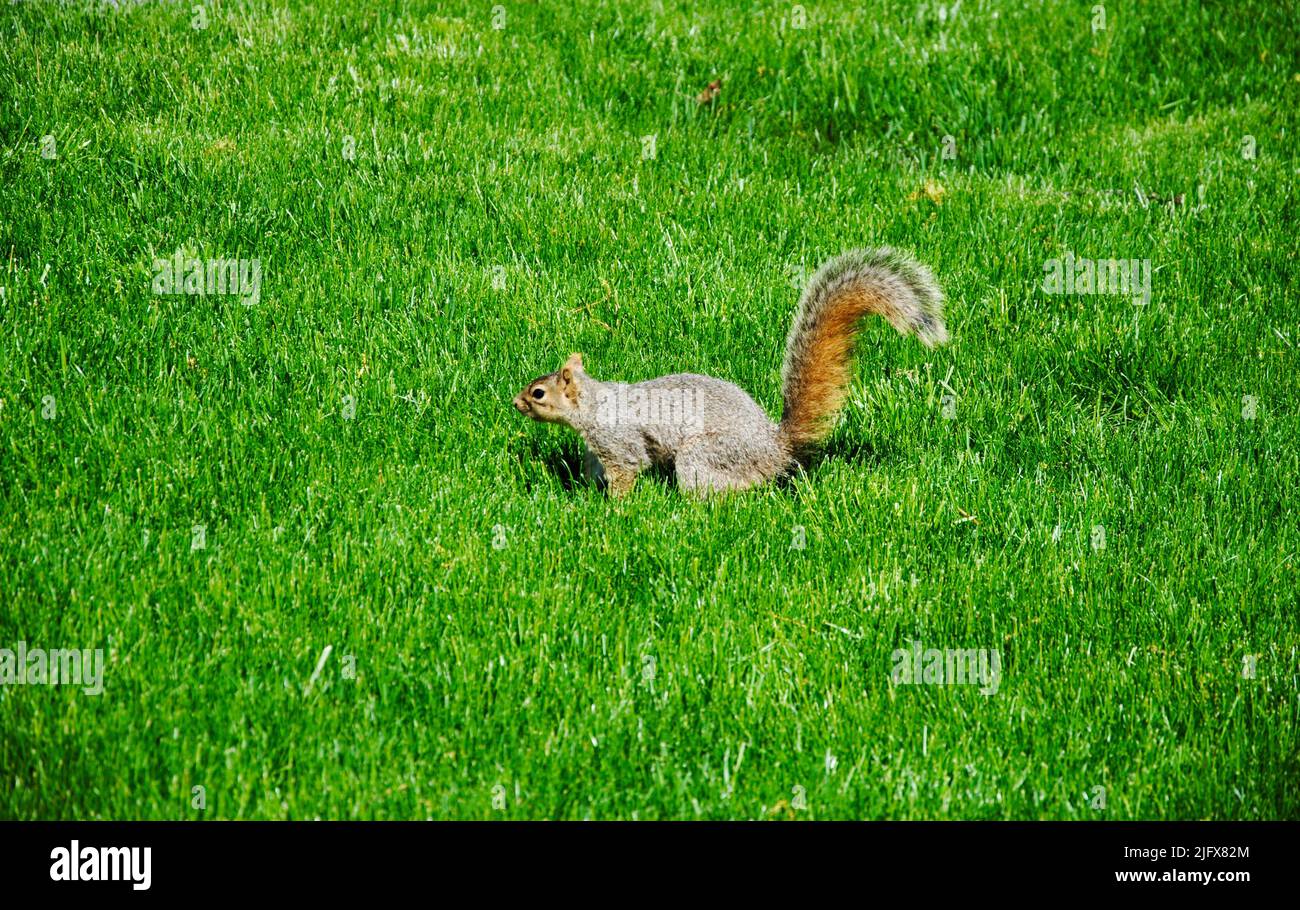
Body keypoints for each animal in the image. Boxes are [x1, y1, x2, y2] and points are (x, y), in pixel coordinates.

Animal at [512, 248, 948, 496]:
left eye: (538, 393)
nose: (515, 402)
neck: (593, 403)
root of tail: (774, 448)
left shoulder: (619, 440)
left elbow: (627, 471)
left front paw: (613, 509)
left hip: (706, 456)